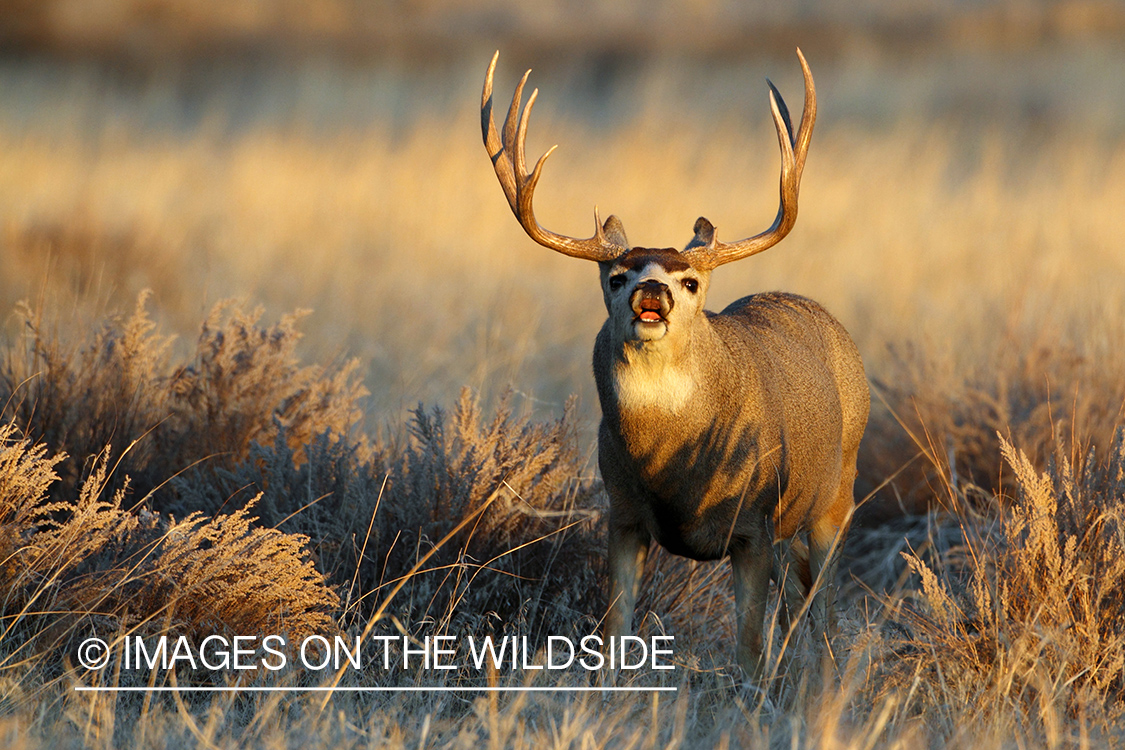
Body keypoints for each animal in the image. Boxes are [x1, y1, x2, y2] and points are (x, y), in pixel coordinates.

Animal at [479, 46, 864, 679]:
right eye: (616, 276)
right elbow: (614, 631)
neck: (672, 466)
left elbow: (748, 652)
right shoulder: (622, 513)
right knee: (800, 599)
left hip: (837, 496)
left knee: (825, 607)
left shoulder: (753, 523)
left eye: (689, 281)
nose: (652, 292)